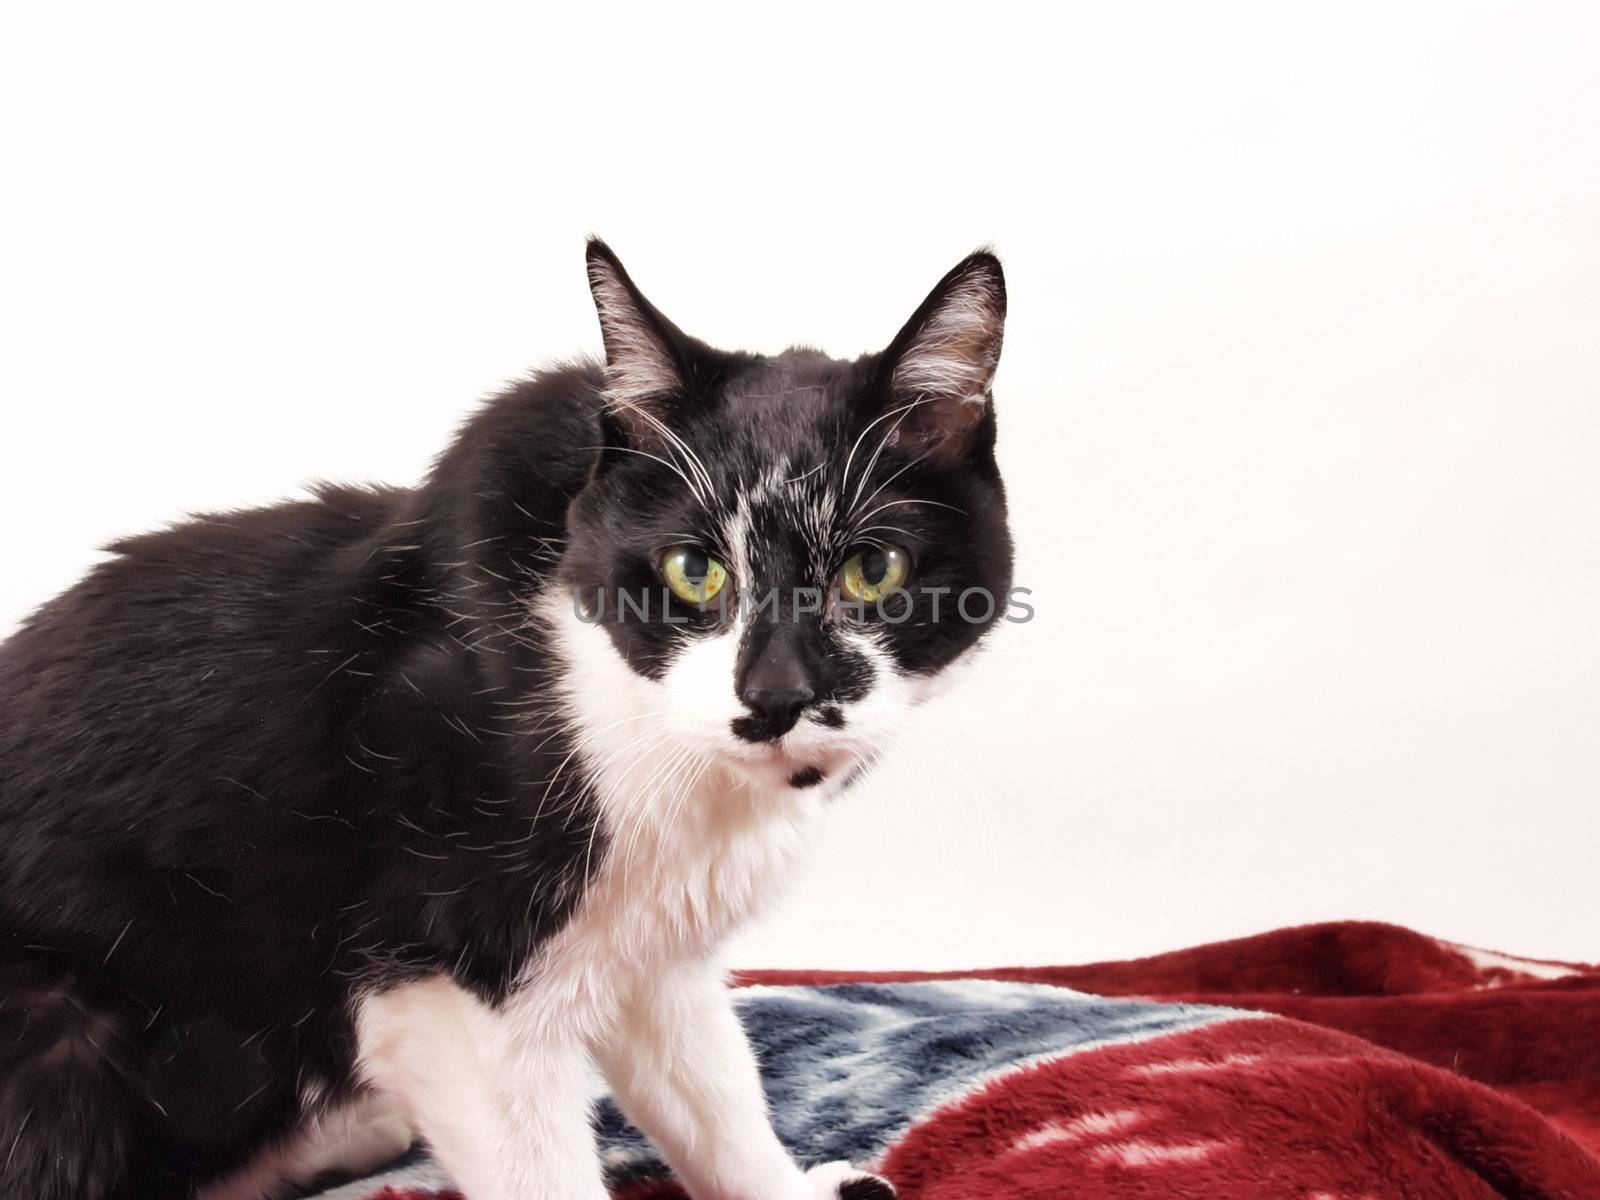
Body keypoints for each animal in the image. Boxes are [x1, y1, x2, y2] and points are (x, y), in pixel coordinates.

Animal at [0, 236, 1011, 1200]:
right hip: (64, 1031)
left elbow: (712, 1095)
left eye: (873, 570)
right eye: (694, 571)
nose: (774, 696)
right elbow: (534, 1160)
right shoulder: (441, 977)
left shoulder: (651, 949)